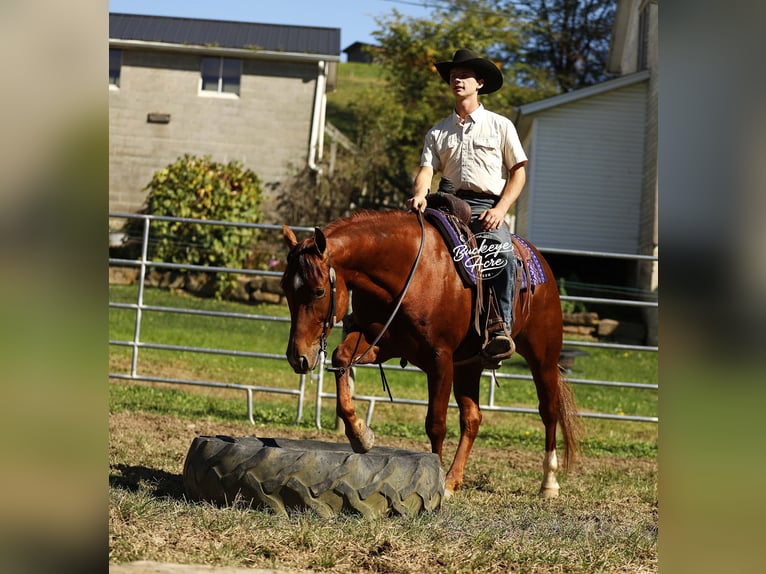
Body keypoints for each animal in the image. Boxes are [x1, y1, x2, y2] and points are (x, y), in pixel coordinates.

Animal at [281, 209, 579, 498]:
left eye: (319, 291)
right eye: (285, 287)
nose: (298, 357)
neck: (409, 274)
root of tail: (536, 258)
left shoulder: (440, 359)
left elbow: (436, 423)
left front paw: (433, 481)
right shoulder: (381, 343)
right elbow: (341, 358)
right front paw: (360, 434)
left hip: (543, 358)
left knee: (548, 411)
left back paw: (549, 483)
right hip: (468, 366)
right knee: (472, 418)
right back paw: (453, 481)